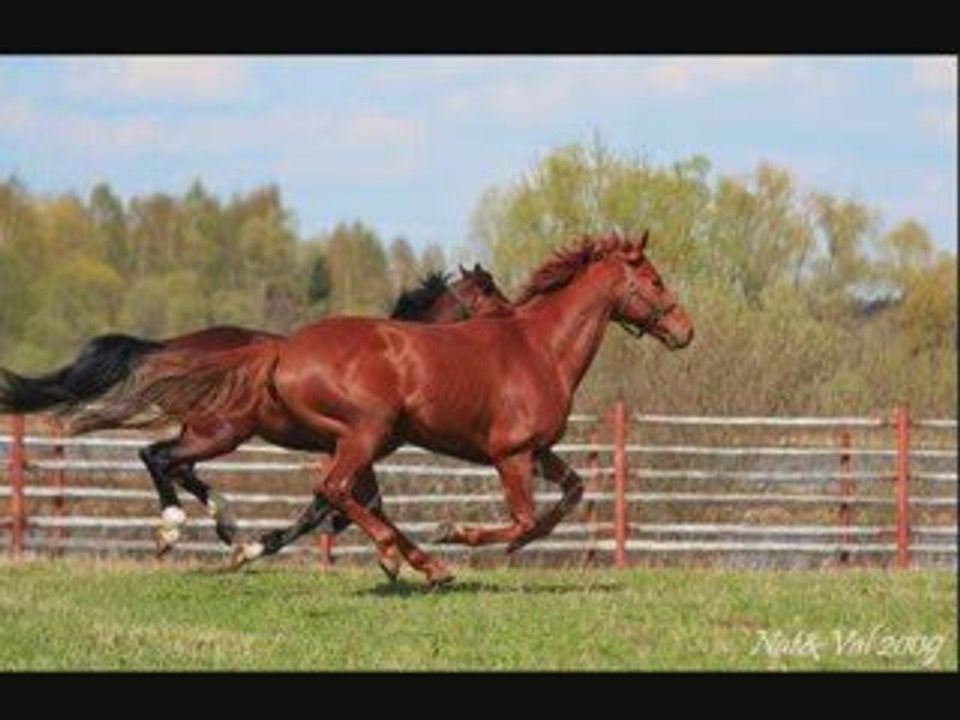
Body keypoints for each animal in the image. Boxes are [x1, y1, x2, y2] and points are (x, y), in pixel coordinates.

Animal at [0, 264, 509, 555]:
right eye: (494, 296)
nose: (514, 318)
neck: (391, 360)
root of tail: (173, 347)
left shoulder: (356, 453)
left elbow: (350, 505)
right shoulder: (355, 449)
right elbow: (332, 505)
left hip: (207, 432)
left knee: (174, 463)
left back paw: (223, 523)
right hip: (221, 432)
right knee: (157, 456)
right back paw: (176, 526)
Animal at [67, 231, 692, 585]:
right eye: (655, 280)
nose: (685, 330)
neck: (541, 347)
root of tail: (280, 349)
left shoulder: (540, 451)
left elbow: (570, 496)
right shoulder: (510, 454)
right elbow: (520, 516)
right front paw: (453, 535)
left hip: (338, 440)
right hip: (342, 433)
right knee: (307, 485)